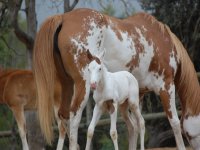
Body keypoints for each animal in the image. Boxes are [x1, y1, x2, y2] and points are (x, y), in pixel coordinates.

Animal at [33, 8, 200, 150]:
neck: (162, 41)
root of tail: (63, 18)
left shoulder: (137, 95)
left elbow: (134, 127)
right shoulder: (166, 86)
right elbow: (175, 123)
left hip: (67, 85)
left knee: (64, 118)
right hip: (83, 85)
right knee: (74, 116)